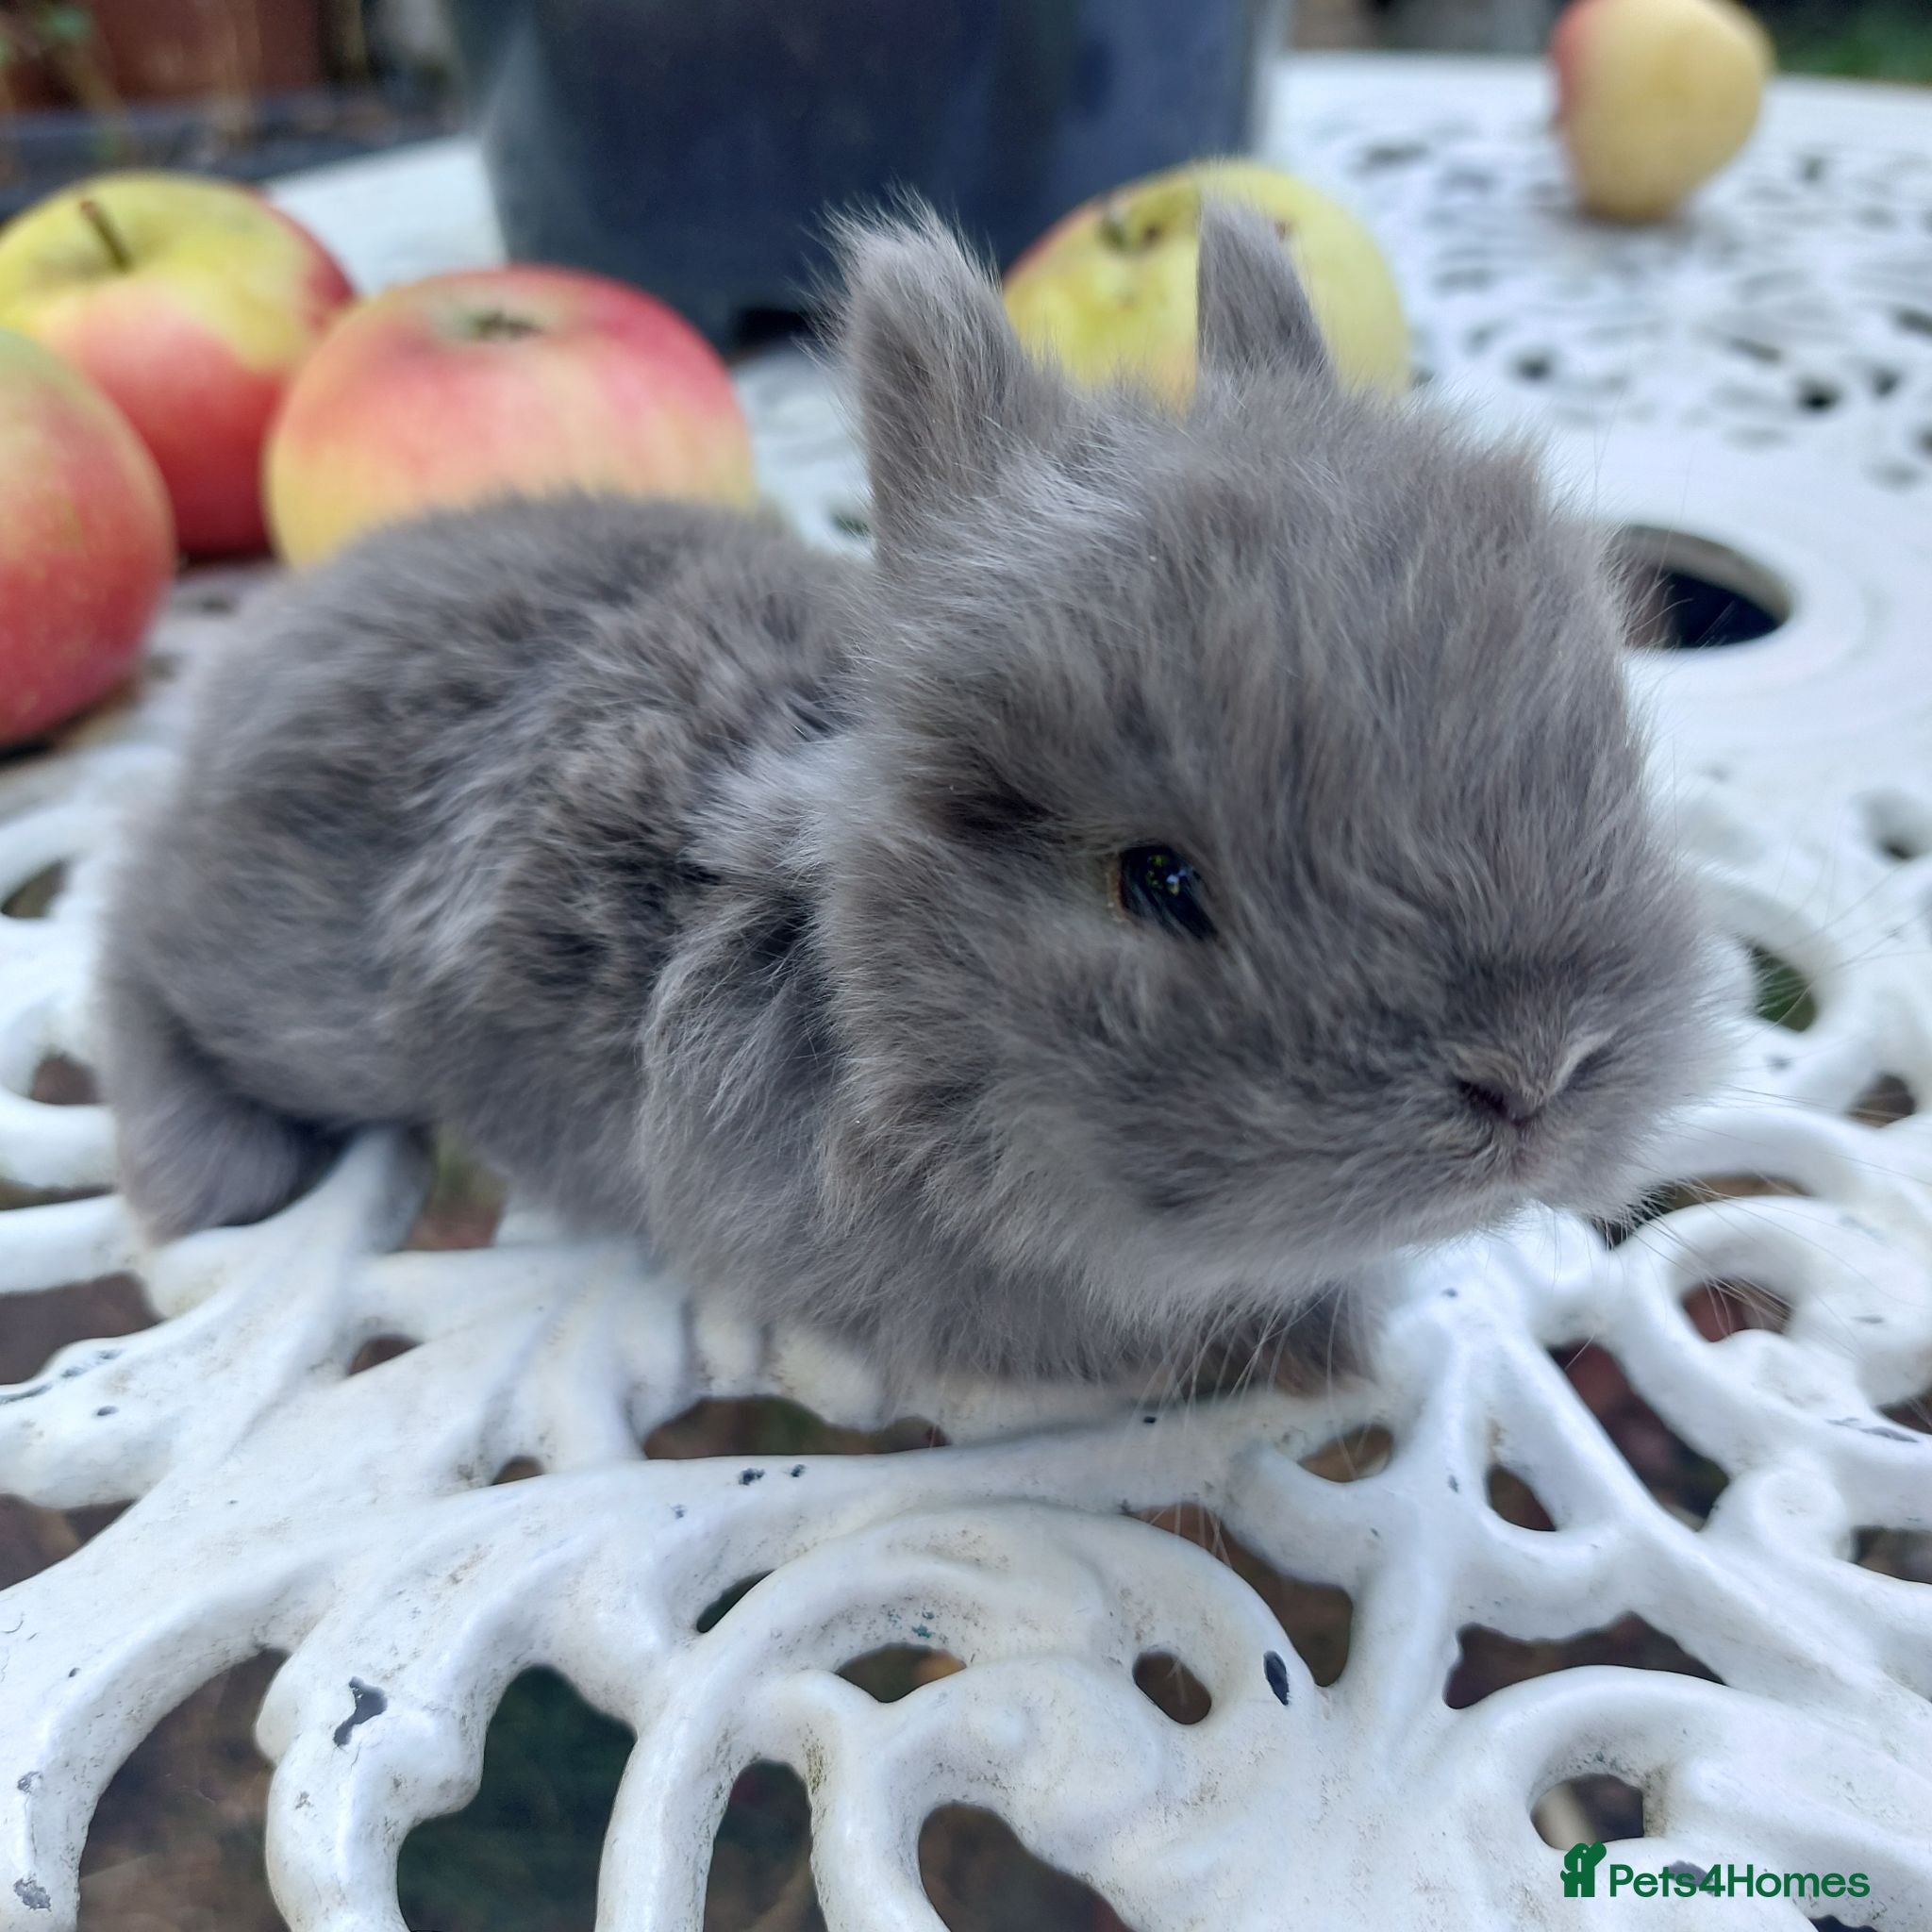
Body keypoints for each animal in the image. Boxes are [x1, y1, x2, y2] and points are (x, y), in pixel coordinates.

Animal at [97, 204, 1722, 1390]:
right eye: (1159, 883)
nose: (1533, 1078)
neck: (863, 1002)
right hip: (300, 997)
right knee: (131, 953)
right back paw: (203, 1176)